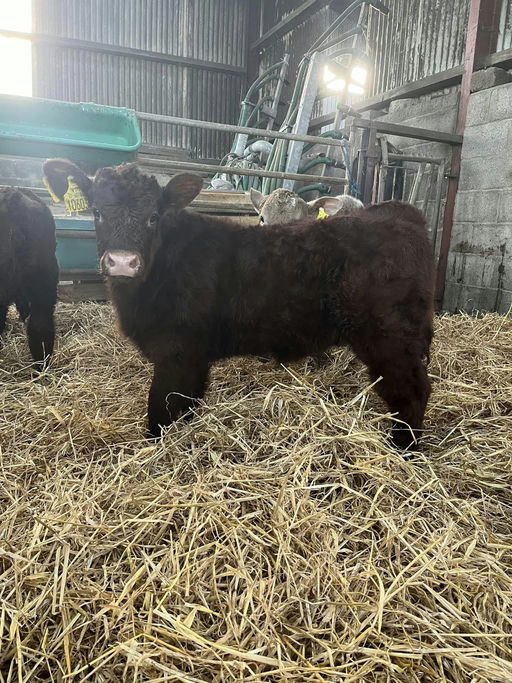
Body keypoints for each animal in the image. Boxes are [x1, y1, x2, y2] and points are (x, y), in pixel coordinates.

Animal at [43, 159, 435, 450]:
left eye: (154, 216)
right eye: (96, 212)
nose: (123, 262)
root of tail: (401, 213)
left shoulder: (176, 353)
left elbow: (160, 410)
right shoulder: (194, 357)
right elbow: (186, 405)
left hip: (390, 337)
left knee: (412, 392)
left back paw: (405, 451)